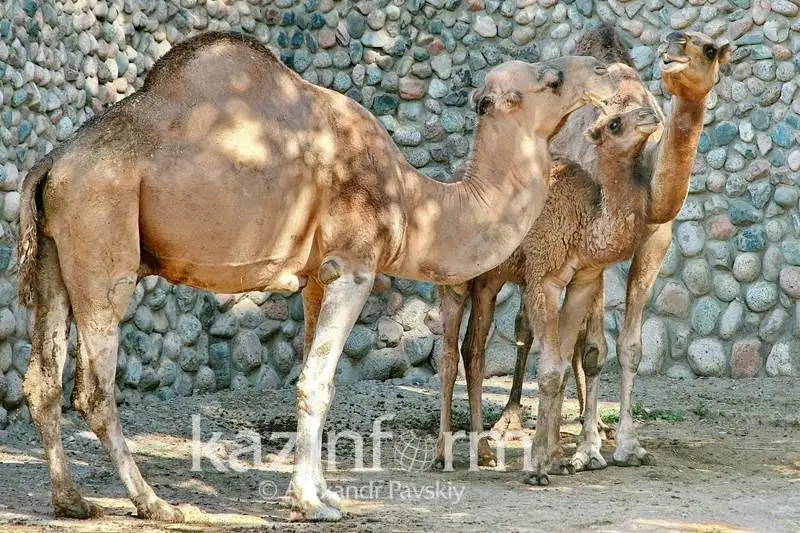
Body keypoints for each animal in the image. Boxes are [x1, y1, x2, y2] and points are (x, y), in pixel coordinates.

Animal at [17, 31, 632, 520]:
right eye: (551, 79)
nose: (608, 72)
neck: (412, 201)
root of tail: (52, 163)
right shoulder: (355, 267)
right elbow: (317, 383)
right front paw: (311, 504)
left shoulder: (317, 275)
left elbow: (316, 381)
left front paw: (324, 495)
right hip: (103, 243)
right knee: (94, 389)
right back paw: (154, 503)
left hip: (54, 258)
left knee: (41, 380)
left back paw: (71, 501)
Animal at [434, 105, 660, 482]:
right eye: (614, 123)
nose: (650, 115)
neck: (584, 220)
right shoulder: (543, 276)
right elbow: (551, 368)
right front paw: (539, 467)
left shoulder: (583, 279)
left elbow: (564, 361)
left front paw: (556, 458)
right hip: (457, 276)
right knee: (449, 355)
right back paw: (442, 455)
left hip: (489, 281)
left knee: (474, 350)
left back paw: (484, 453)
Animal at [482, 30, 732, 470]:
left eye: (710, 49)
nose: (675, 42)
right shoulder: (591, 244)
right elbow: (594, 349)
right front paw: (588, 451)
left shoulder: (655, 239)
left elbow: (630, 348)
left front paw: (628, 445)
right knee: (527, 326)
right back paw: (510, 424)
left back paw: (592, 422)